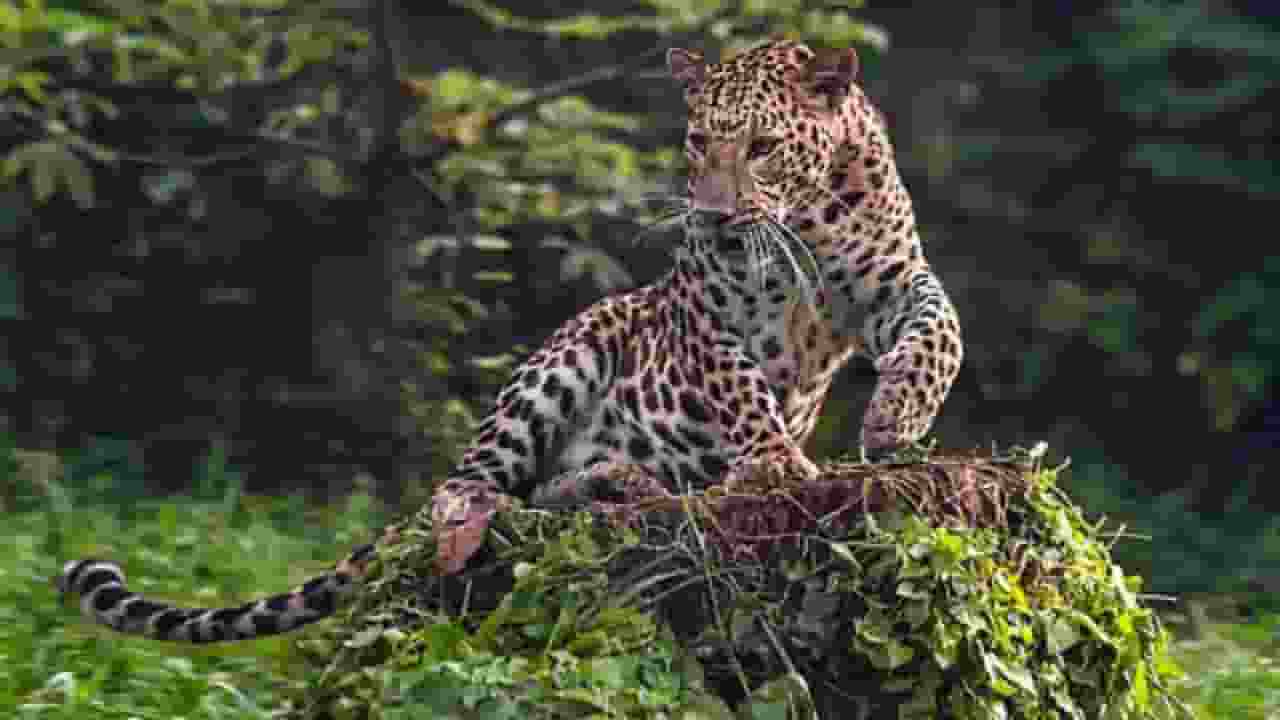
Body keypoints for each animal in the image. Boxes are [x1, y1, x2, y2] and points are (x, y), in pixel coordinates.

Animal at [59, 38, 963, 642]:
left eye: (765, 147)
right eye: (701, 141)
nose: (710, 215)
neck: (804, 218)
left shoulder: (894, 279)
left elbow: (940, 331)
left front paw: (894, 423)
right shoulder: (707, 311)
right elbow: (739, 385)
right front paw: (776, 463)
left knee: (547, 492)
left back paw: (617, 481)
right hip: (572, 350)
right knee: (469, 487)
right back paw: (508, 511)